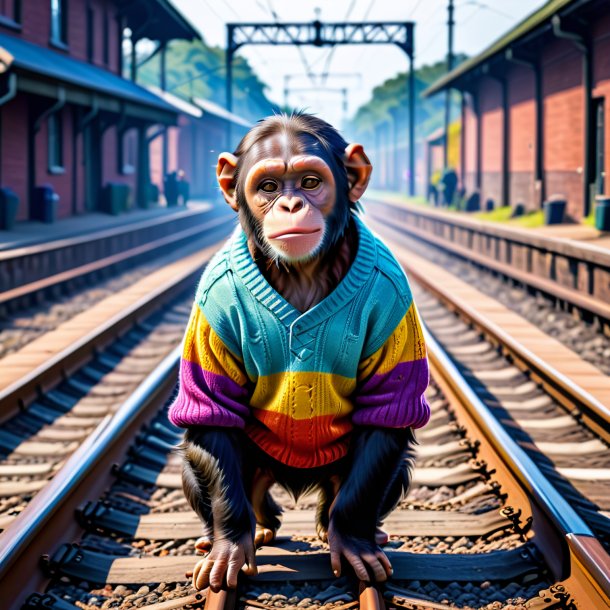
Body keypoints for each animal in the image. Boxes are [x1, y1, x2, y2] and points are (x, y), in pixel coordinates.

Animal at [169, 109, 430, 588]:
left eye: (310, 182)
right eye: (269, 187)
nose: (291, 205)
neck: (303, 273)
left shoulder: (393, 297)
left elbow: (385, 415)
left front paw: (354, 543)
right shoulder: (212, 306)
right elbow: (212, 415)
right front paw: (228, 545)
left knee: (375, 474)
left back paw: (344, 528)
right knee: (204, 468)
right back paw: (248, 526)